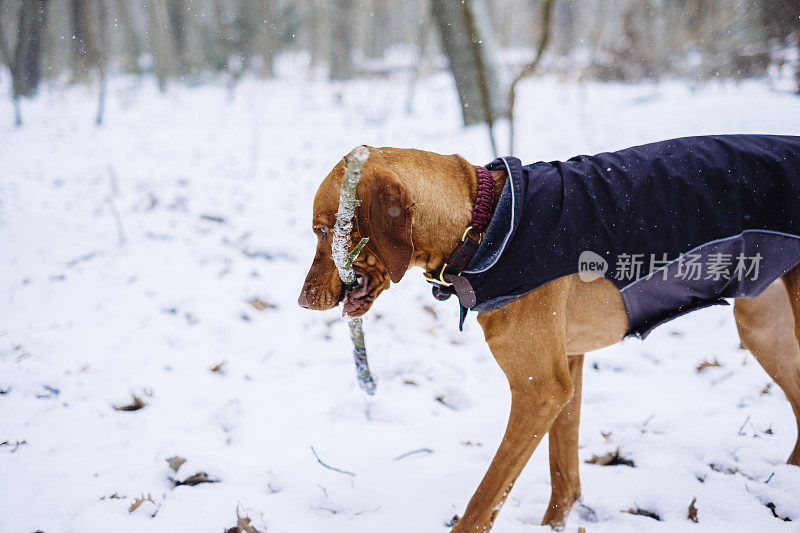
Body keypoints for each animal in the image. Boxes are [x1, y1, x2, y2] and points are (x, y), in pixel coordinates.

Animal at [296, 147, 800, 532]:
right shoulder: (567, 370)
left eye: (323, 230)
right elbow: (565, 475)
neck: (482, 223)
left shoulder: (539, 389)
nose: (302, 300)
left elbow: (484, 500)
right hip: (762, 326)